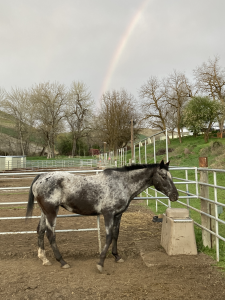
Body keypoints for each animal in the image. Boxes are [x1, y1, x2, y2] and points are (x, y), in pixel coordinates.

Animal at [25, 161, 178, 274]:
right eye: (164, 176)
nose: (175, 196)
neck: (122, 183)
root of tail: (41, 176)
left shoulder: (118, 214)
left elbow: (116, 234)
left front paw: (117, 256)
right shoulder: (108, 214)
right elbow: (109, 236)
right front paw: (100, 263)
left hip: (44, 212)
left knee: (40, 230)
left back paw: (44, 259)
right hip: (51, 212)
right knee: (50, 234)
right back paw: (62, 262)